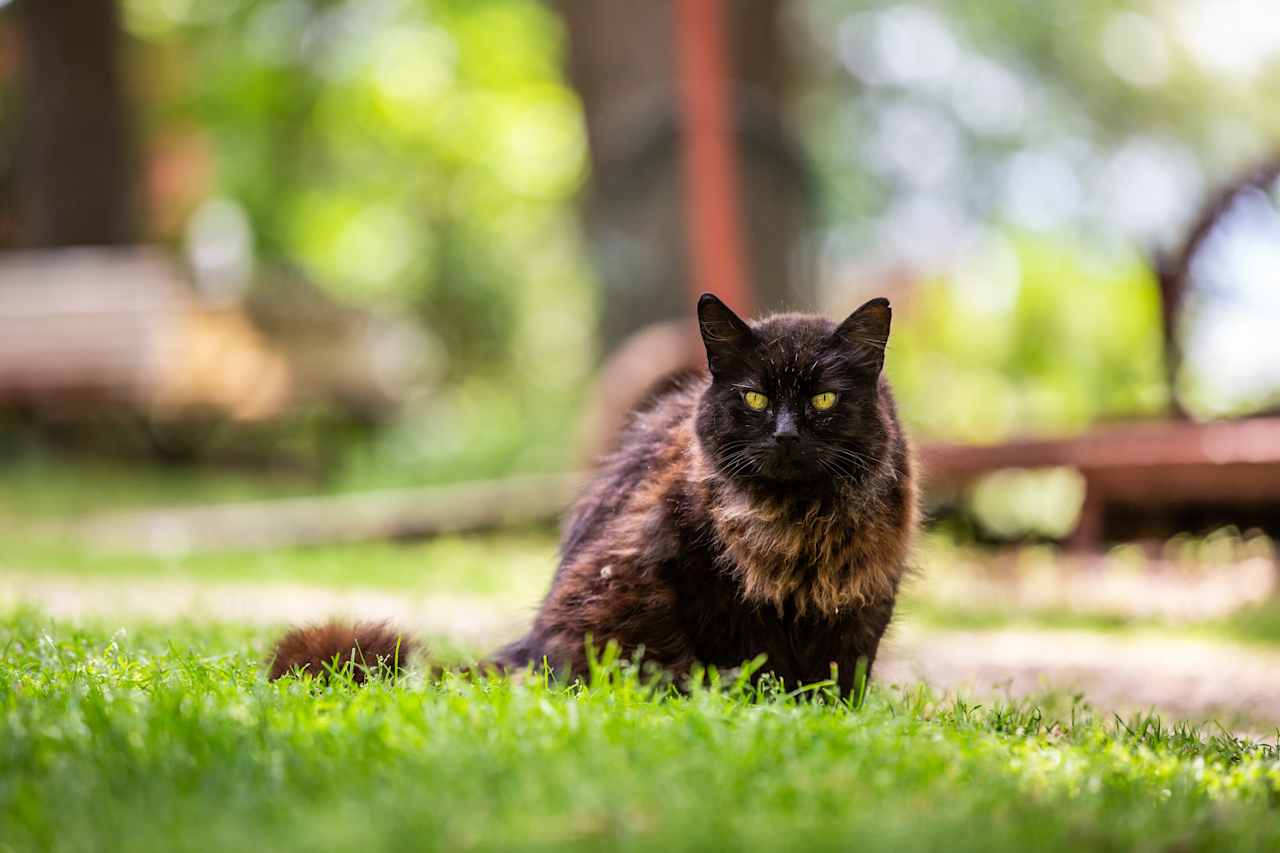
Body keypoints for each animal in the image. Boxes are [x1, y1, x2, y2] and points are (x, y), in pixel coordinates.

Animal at [270, 292, 916, 691]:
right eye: (755, 398)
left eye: (823, 399)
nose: (784, 434)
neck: (800, 523)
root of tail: (527, 644)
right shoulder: (692, 569)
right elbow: (750, 660)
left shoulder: (863, 596)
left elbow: (843, 675)